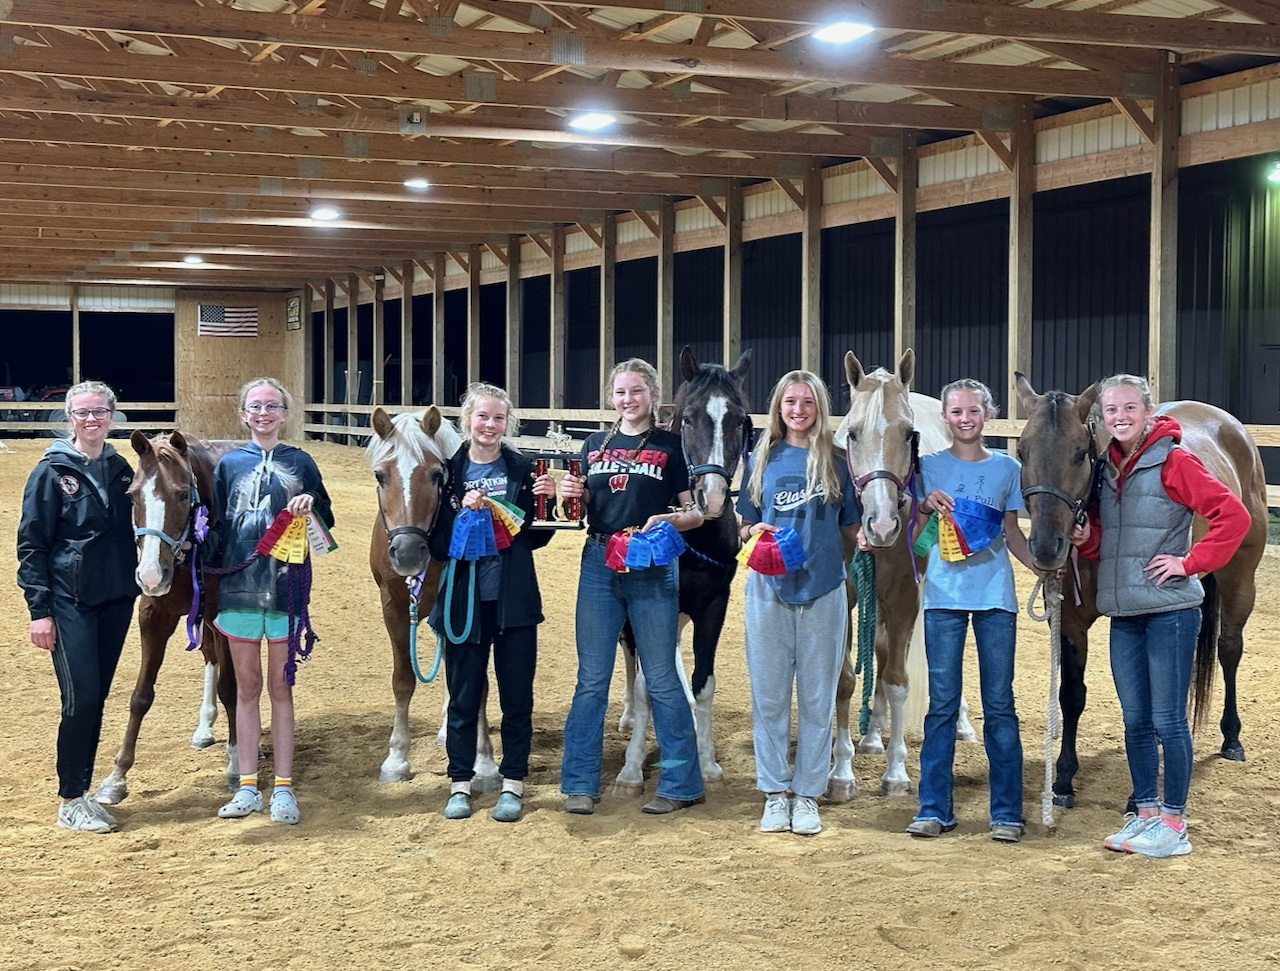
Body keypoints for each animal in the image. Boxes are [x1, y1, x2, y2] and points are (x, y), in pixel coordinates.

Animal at [96, 429, 239, 803]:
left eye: (182, 494)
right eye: (132, 495)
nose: (150, 575)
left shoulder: (223, 615)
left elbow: (231, 688)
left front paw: (236, 764)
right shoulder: (153, 616)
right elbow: (140, 696)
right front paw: (116, 777)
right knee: (210, 656)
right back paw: (204, 727)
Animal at [368, 406, 501, 788]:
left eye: (436, 474)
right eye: (380, 475)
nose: (408, 552)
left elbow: (477, 684)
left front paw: (485, 763)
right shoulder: (394, 607)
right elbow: (402, 681)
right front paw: (396, 758)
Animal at [829, 350, 967, 798]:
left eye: (909, 434)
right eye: (852, 434)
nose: (883, 524)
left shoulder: (907, 596)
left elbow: (897, 680)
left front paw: (896, 772)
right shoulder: (847, 596)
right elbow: (846, 680)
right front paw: (841, 772)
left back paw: (960, 724)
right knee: (881, 648)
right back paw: (873, 734)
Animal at [1008, 376, 1269, 808]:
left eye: (1079, 454)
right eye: (1021, 451)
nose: (1046, 548)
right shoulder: (1070, 624)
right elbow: (1071, 695)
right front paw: (1063, 779)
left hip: (1239, 576)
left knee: (1229, 650)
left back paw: (1231, 737)